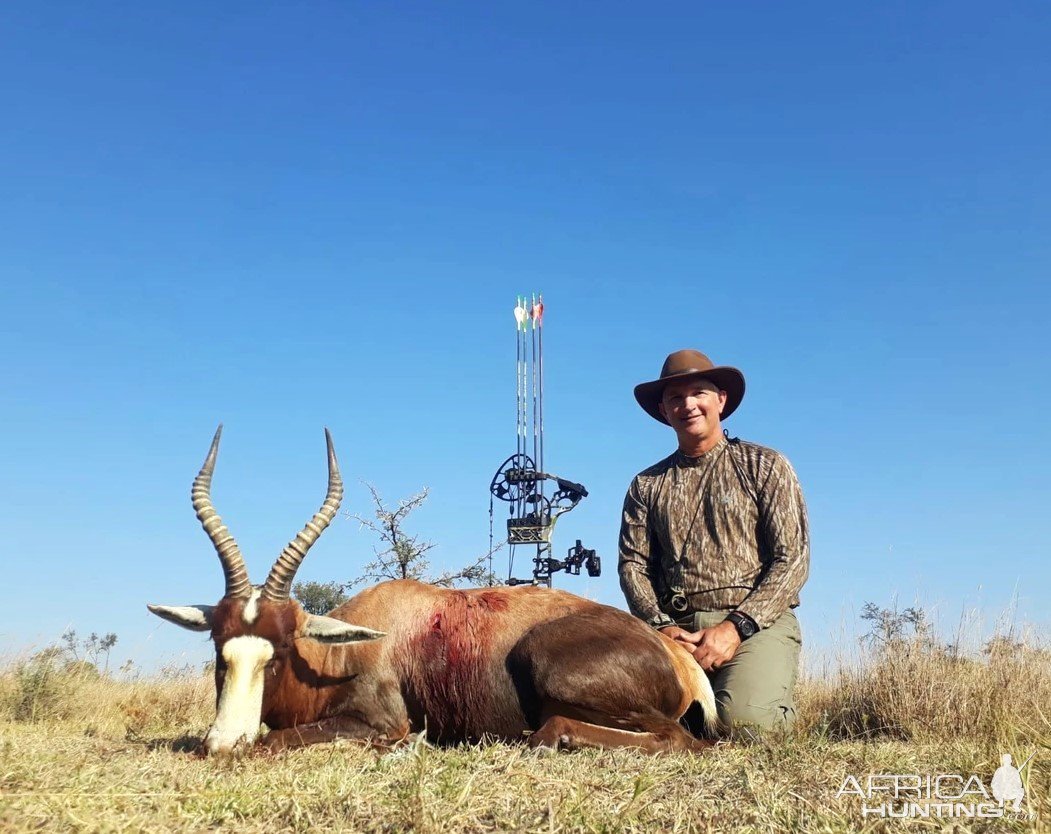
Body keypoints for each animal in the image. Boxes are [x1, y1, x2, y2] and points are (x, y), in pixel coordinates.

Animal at [148, 428, 718, 752]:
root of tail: (676, 656)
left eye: (282, 646)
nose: (223, 744)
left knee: (676, 739)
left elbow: (278, 740)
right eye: (217, 645)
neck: (344, 649)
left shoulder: (382, 723)